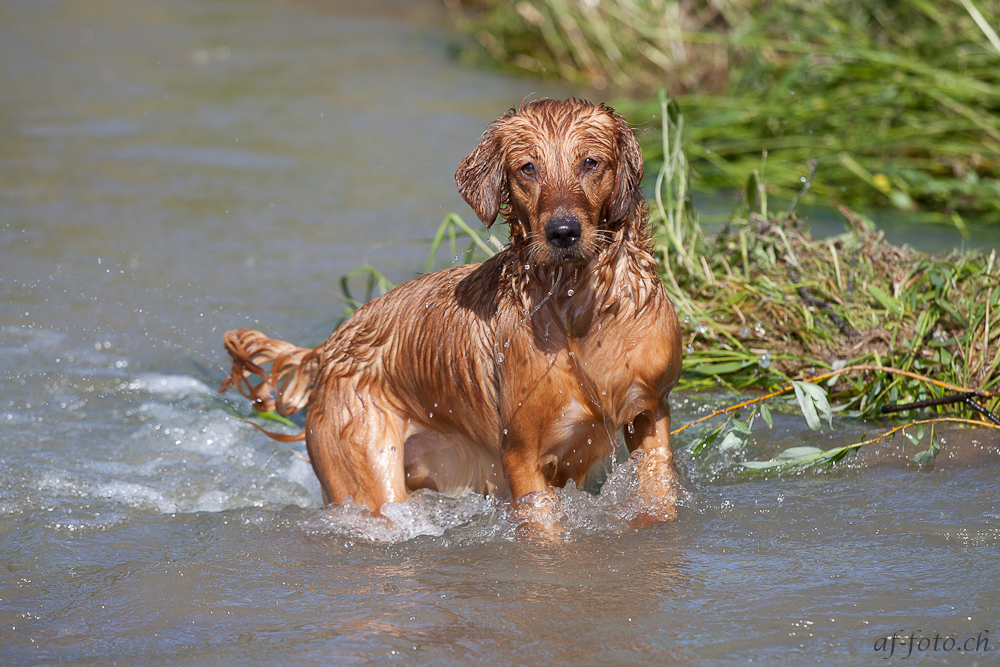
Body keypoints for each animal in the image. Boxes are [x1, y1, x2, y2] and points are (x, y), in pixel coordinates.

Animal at [222, 98, 684, 528]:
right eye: (527, 168)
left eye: (590, 162)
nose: (563, 232)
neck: (578, 308)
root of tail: (327, 347)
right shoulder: (522, 453)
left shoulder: (651, 410)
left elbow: (658, 491)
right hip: (367, 468)